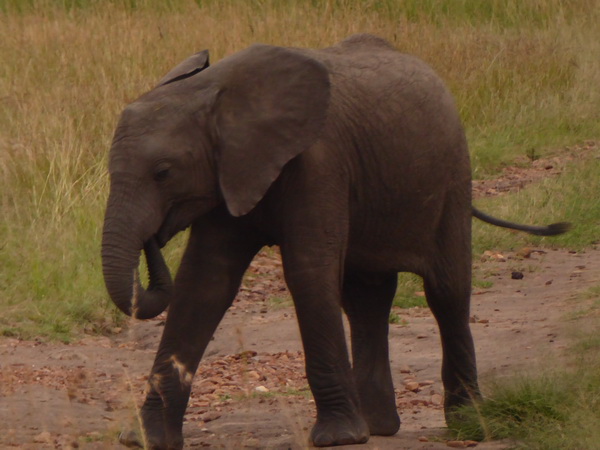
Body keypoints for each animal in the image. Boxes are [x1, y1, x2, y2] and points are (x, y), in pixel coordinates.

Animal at [102, 33, 568, 448]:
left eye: (163, 172)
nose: (154, 238)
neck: (214, 92)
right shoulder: (227, 174)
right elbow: (204, 282)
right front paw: (146, 440)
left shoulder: (319, 162)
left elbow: (307, 272)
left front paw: (337, 439)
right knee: (366, 300)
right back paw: (378, 427)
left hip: (451, 176)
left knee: (447, 293)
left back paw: (467, 423)